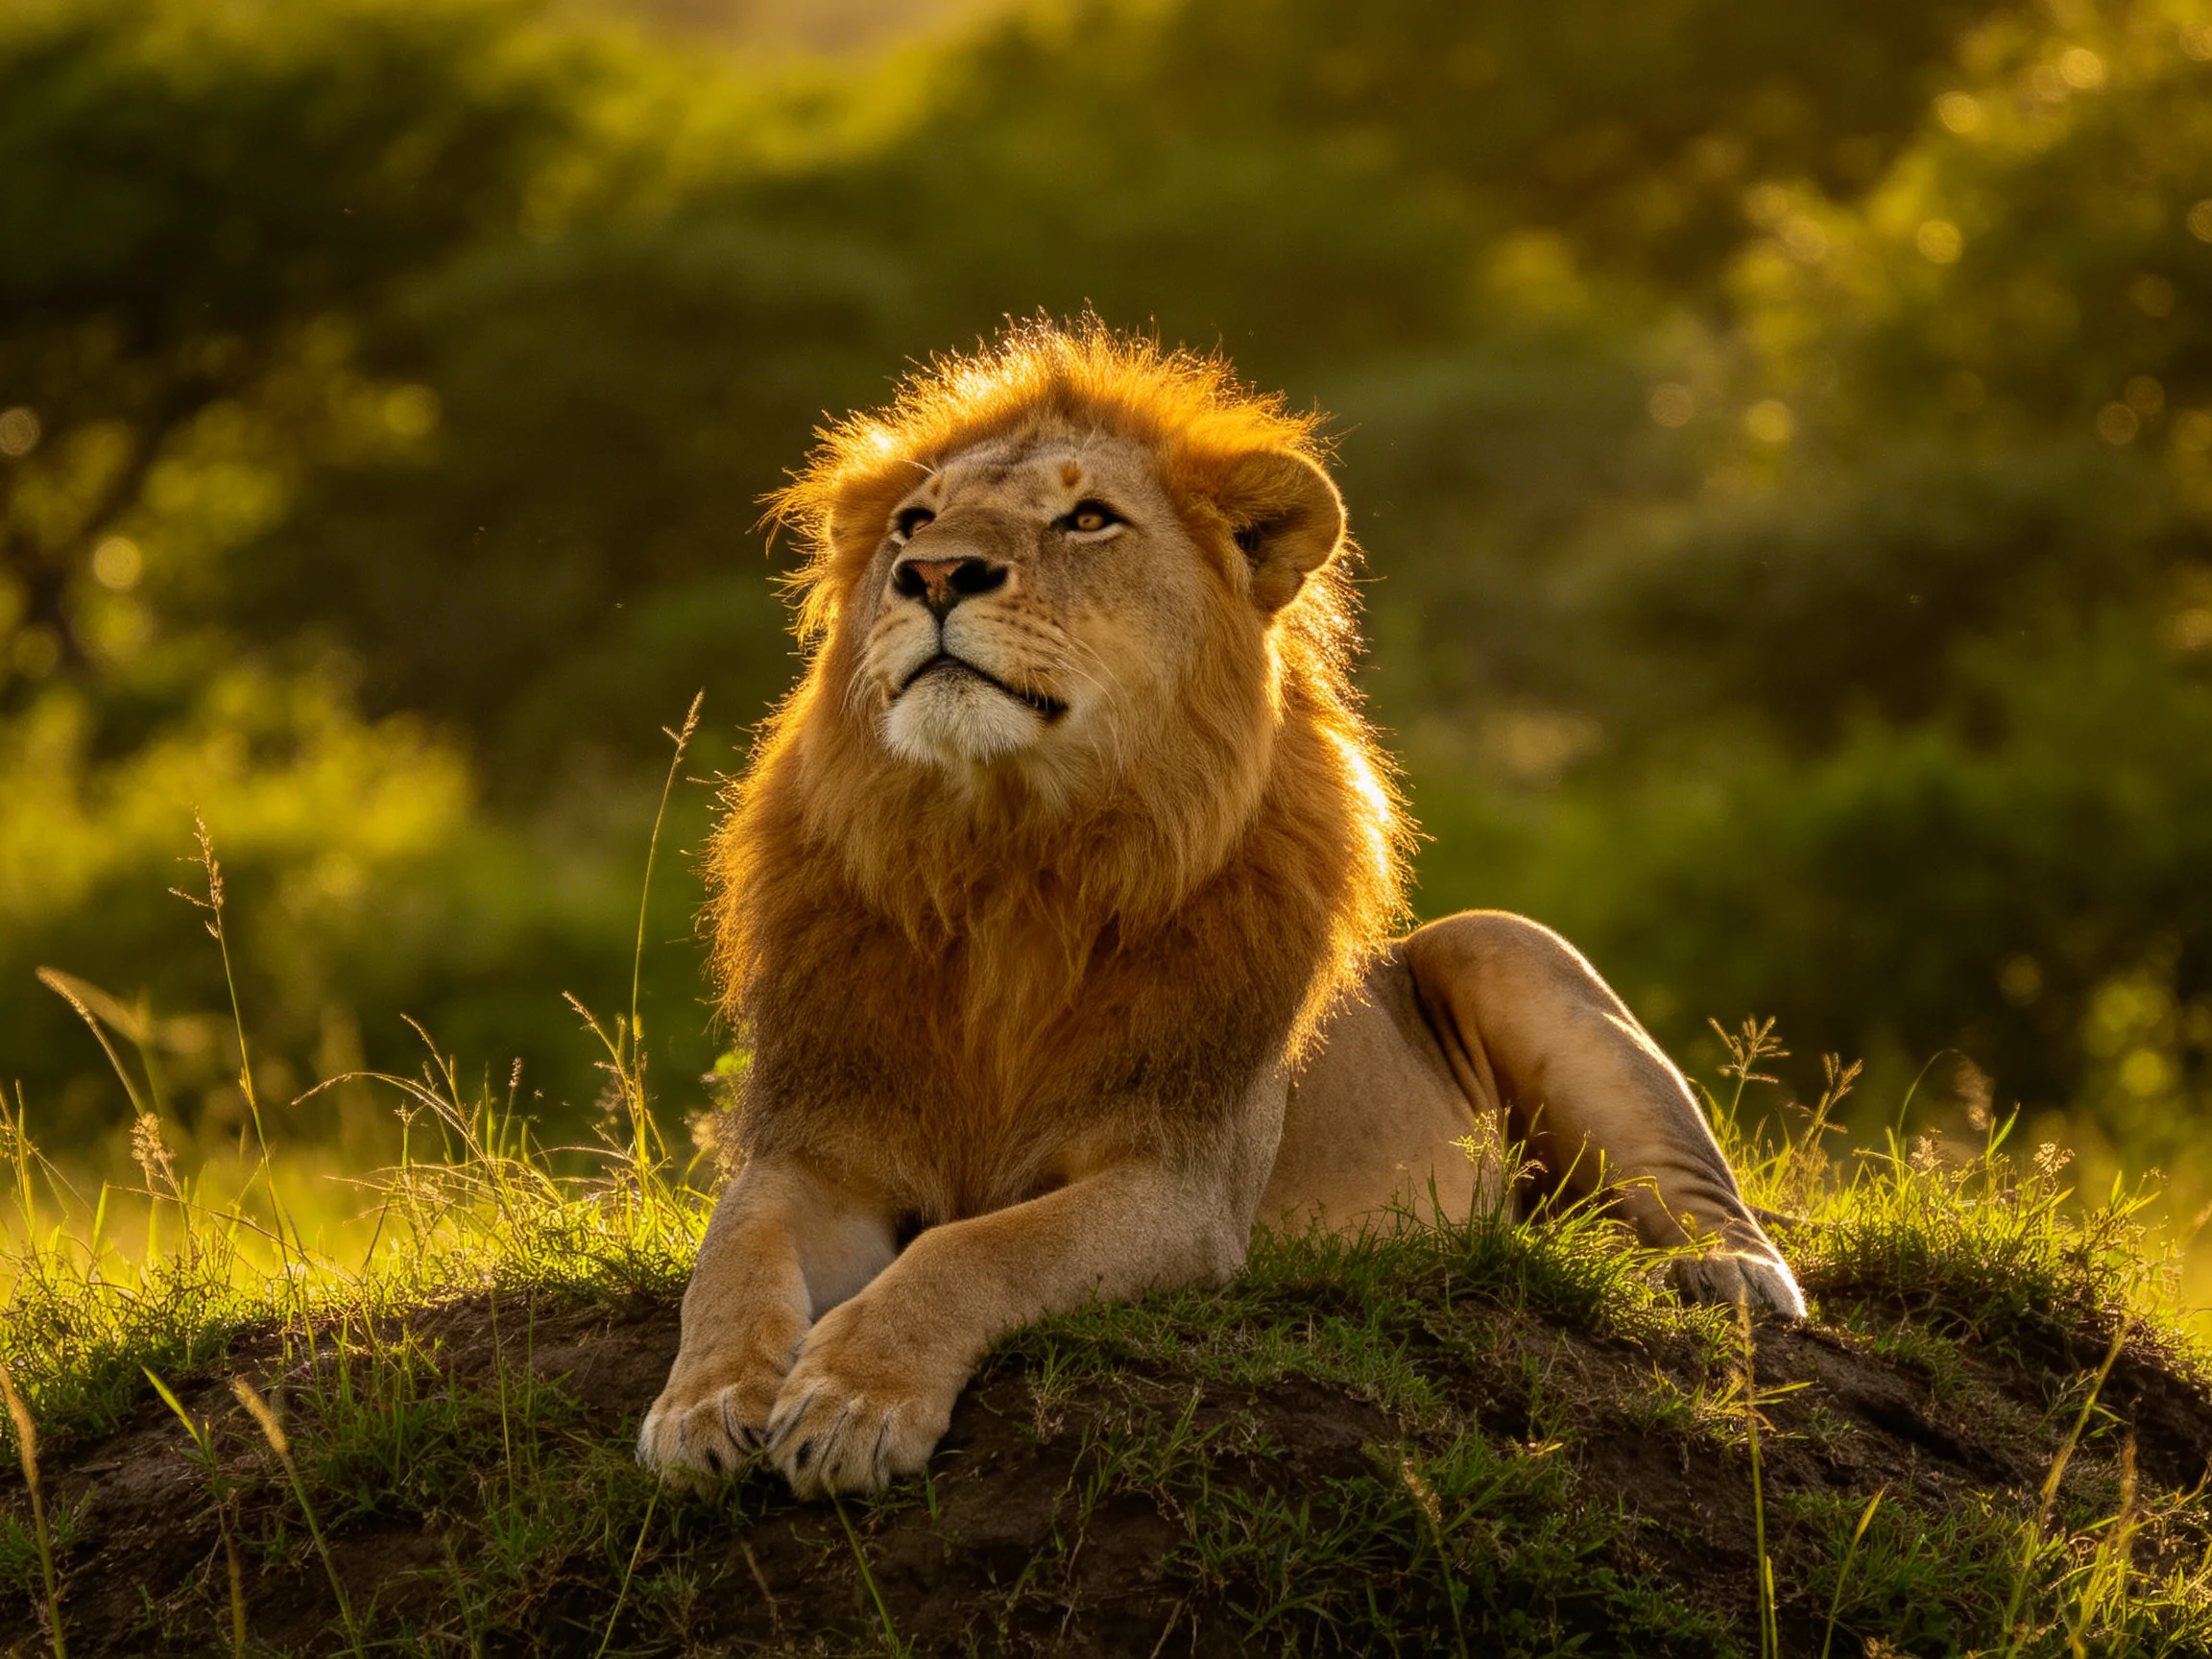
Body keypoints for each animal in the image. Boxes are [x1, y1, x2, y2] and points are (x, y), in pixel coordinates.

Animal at [639, 320, 1804, 1497]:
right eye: (912, 525)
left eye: (1088, 520)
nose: (932, 574)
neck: (1006, 856)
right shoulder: (819, 1147)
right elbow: (730, 1261)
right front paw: (702, 1407)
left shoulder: (1182, 1187)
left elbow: (974, 1249)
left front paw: (855, 1399)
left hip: (1505, 947)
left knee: (1697, 1191)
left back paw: (1728, 1274)